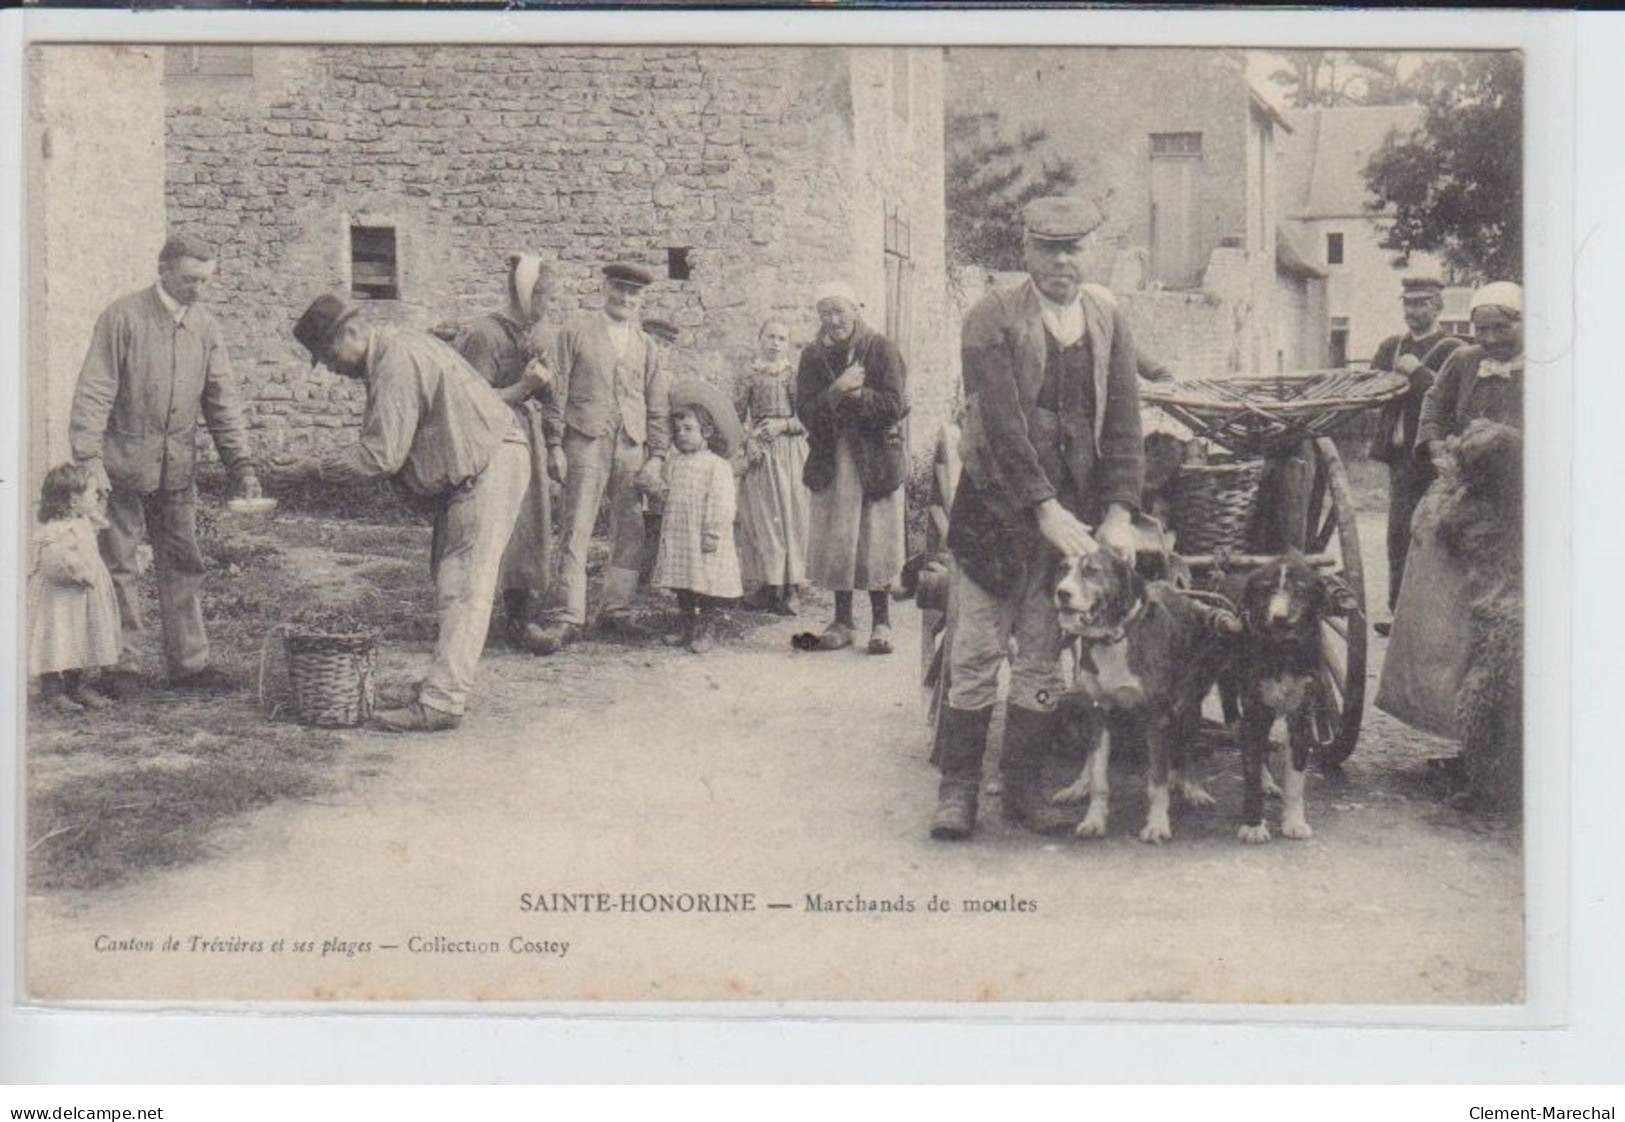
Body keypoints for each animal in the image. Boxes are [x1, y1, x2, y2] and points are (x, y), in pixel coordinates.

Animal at [1046, 546, 1235, 845]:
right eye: (1063, 570)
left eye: (1092, 571)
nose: (1062, 592)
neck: (1112, 638)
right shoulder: (1099, 712)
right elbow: (1099, 776)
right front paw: (1094, 819)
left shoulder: (1157, 716)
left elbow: (1156, 780)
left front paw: (1157, 823)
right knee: (1090, 757)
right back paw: (1079, 785)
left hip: (1189, 704)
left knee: (1186, 748)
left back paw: (1190, 786)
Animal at [1222, 549, 1365, 839]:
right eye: (1267, 590)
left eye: (1299, 591)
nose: (1279, 617)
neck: (1283, 652)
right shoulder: (1255, 708)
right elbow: (1250, 765)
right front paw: (1253, 825)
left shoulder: (1302, 712)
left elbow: (1297, 774)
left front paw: (1294, 821)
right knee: (1240, 732)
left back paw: (1268, 782)